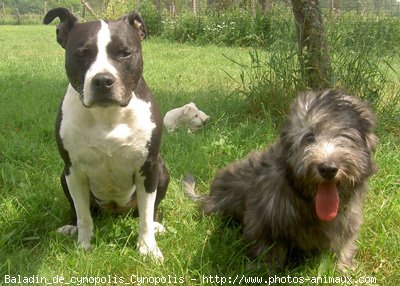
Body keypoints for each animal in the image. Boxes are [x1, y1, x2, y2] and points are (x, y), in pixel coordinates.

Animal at [43, 7, 169, 262]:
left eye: (124, 53)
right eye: (81, 54)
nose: (102, 80)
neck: (107, 115)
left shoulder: (149, 168)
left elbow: (145, 216)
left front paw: (148, 248)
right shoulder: (74, 171)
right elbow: (83, 215)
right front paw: (83, 245)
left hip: (163, 171)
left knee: (147, 210)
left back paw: (157, 224)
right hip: (64, 176)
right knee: (78, 209)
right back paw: (70, 227)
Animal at [189, 90, 376, 270]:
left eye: (345, 136)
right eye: (309, 137)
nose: (328, 168)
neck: (307, 200)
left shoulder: (349, 219)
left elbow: (344, 243)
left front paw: (343, 266)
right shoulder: (263, 218)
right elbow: (267, 248)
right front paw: (264, 269)